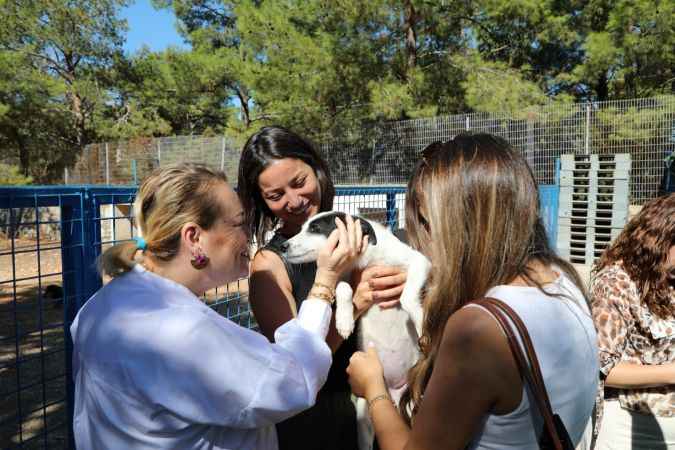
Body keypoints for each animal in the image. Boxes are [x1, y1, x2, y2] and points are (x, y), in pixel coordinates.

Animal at [282, 211, 434, 450]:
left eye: (315, 228)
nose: (283, 246)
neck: (364, 261)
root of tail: (392, 394)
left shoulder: (419, 261)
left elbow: (407, 297)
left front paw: (420, 322)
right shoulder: (343, 278)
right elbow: (344, 288)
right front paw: (344, 321)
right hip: (364, 414)